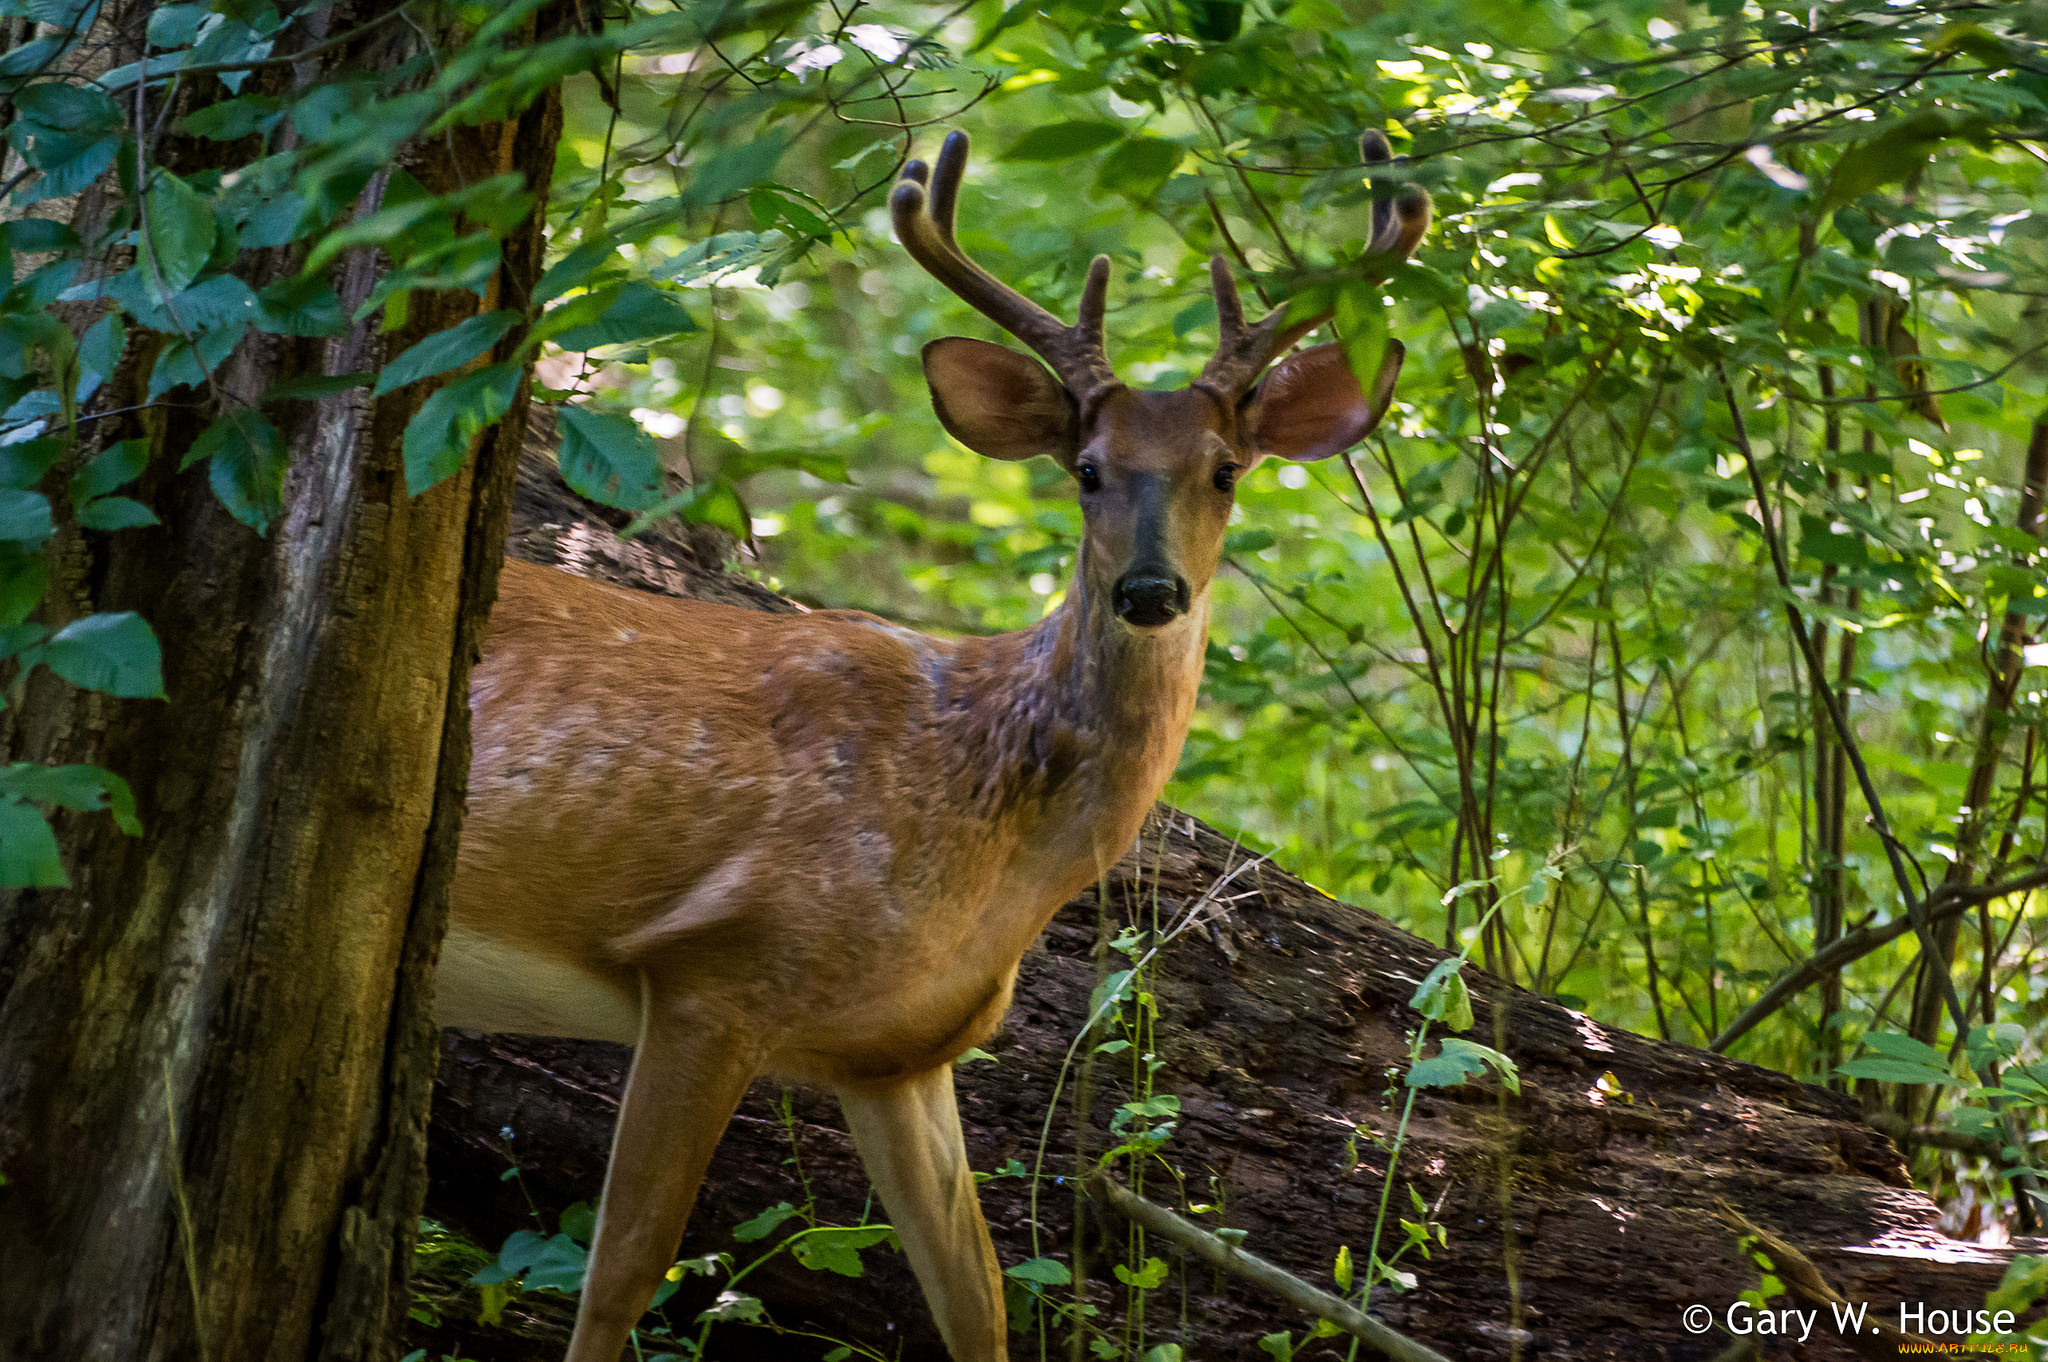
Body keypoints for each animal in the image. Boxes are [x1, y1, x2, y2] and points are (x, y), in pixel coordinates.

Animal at [436, 127, 1425, 1359]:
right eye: (1086, 470)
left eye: (1225, 469)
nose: (1151, 591)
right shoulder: (712, 965)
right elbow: (619, 1273)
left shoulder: (900, 1053)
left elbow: (977, 1299)